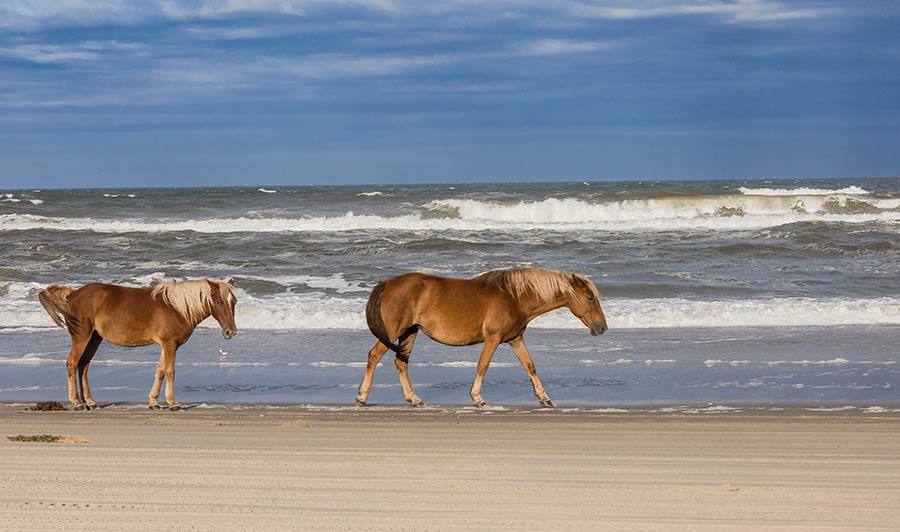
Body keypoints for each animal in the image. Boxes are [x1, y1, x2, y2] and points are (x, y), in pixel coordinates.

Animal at [39, 278, 237, 412]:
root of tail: (72, 294)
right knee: (72, 364)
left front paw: (154, 402)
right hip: (82, 337)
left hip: (94, 338)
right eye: (218, 301)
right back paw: (76, 402)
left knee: (83, 366)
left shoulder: (167, 345)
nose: (231, 332)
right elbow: (170, 371)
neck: (177, 308)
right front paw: (172, 403)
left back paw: (89, 402)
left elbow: (160, 371)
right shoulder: (170, 344)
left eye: (233, 302)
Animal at [356, 268, 608, 410]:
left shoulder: (515, 339)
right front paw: (477, 398)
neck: (515, 297)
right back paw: (361, 397)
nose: (602, 327)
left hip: (410, 332)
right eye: (589, 297)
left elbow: (530, 366)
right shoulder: (493, 339)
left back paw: (415, 399)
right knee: (374, 356)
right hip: (393, 331)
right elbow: (483, 366)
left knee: (401, 362)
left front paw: (544, 398)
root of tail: (387, 283)